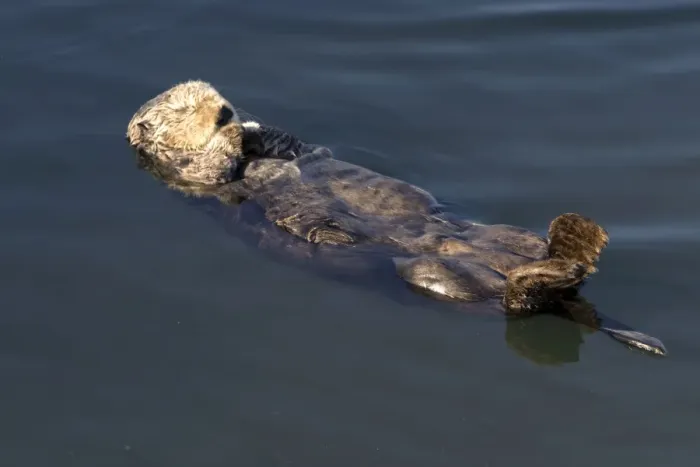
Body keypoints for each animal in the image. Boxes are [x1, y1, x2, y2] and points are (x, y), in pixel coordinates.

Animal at [126, 80, 667, 357]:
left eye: (214, 95)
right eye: (184, 108)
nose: (224, 110)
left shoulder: (289, 146)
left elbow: (290, 142)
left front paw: (253, 124)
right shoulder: (183, 172)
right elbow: (210, 166)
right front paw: (233, 133)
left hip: (504, 237)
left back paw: (579, 245)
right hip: (435, 277)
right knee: (518, 302)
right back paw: (568, 255)